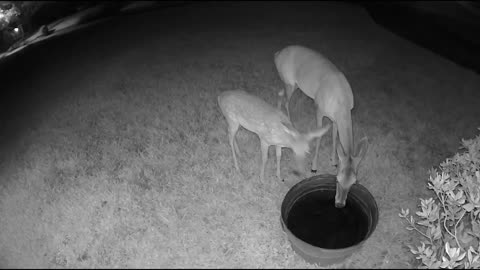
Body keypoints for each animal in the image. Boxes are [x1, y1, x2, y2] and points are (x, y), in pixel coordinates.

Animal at [274, 44, 368, 209]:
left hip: (294, 84)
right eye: (337, 179)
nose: (339, 204)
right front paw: (314, 167)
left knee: (280, 95)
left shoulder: (335, 119)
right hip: (289, 81)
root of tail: (278, 54)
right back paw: (290, 123)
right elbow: (319, 137)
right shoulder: (319, 108)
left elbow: (335, 137)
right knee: (285, 100)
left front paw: (334, 160)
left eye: (354, 182)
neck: (341, 103)